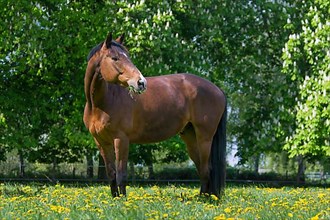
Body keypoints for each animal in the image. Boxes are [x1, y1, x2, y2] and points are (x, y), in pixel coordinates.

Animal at [84, 33, 227, 198]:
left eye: (128, 57)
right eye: (115, 58)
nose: (141, 82)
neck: (101, 103)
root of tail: (218, 90)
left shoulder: (121, 140)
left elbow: (121, 174)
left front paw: (123, 200)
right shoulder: (101, 142)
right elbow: (111, 174)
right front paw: (115, 199)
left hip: (205, 137)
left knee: (206, 169)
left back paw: (205, 199)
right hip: (190, 137)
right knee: (202, 169)